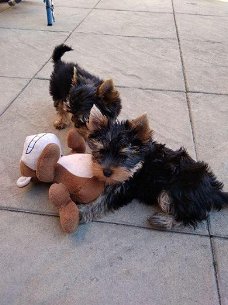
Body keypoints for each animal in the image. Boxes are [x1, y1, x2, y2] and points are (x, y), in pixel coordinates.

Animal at [79, 106, 228, 228]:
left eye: (123, 156)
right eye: (101, 152)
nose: (106, 172)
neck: (138, 164)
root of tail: (213, 190)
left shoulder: (125, 187)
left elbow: (102, 201)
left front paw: (82, 212)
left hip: (179, 190)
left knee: (192, 215)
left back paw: (163, 221)